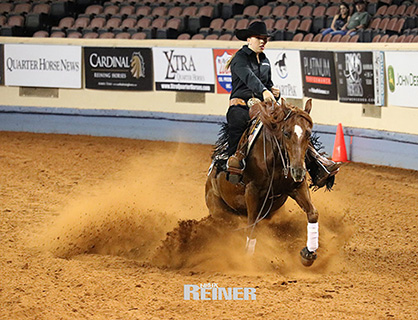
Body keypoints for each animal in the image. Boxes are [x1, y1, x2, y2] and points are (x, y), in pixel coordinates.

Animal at [207, 99, 320, 266]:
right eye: (286, 133)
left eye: (308, 133)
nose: (298, 170)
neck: (277, 161)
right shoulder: (252, 190)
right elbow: (252, 226)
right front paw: (247, 259)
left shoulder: (297, 186)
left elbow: (313, 213)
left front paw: (308, 254)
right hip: (219, 211)